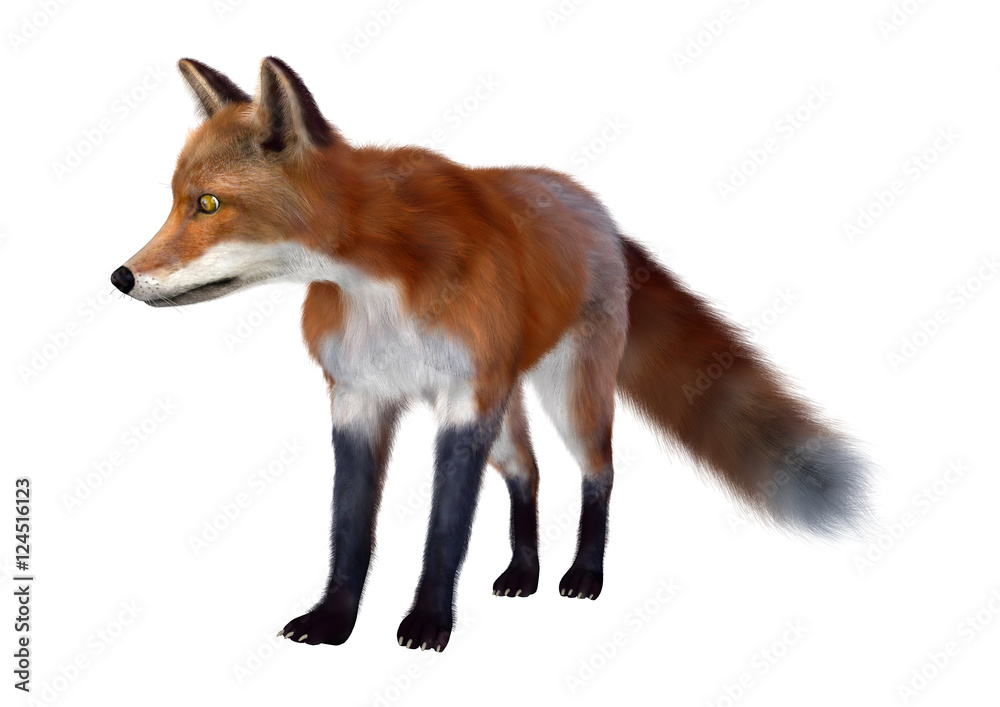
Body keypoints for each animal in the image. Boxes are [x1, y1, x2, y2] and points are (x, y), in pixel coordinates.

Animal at [111, 57, 873, 652]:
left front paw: (427, 623)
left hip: (568, 397)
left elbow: (445, 529)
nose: (120, 277)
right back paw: (525, 574)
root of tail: (595, 209)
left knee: (599, 471)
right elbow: (349, 527)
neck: (380, 291)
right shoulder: (358, 399)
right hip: (506, 412)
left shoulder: (462, 403)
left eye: (209, 204)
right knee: (528, 472)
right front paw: (333, 622)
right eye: (175, 202)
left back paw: (584, 575)